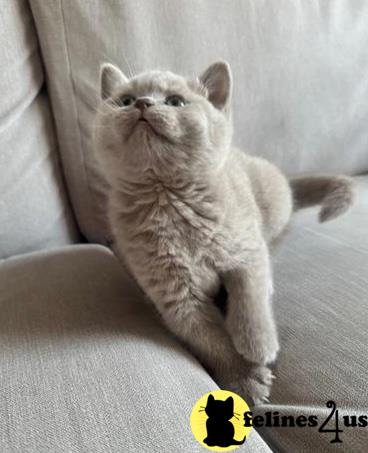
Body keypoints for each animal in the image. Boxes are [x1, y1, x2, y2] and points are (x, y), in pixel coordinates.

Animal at [94, 61, 354, 402]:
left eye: (175, 101)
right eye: (125, 100)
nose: (143, 104)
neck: (167, 199)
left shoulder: (247, 250)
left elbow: (250, 298)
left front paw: (259, 347)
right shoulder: (177, 296)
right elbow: (209, 337)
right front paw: (244, 378)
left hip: (272, 207)